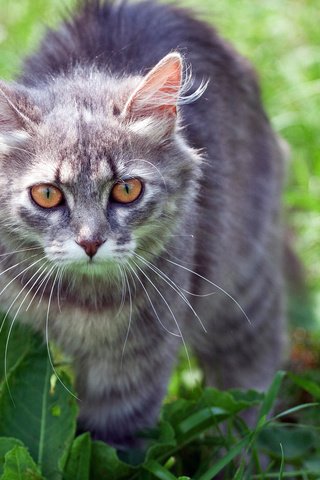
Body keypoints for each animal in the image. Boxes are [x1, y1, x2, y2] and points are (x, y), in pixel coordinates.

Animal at [0, 0, 286, 446]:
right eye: (47, 194)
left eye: (126, 190)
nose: (90, 242)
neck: (81, 303)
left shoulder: (131, 369)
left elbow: (111, 440)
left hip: (243, 283)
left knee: (253, 373)